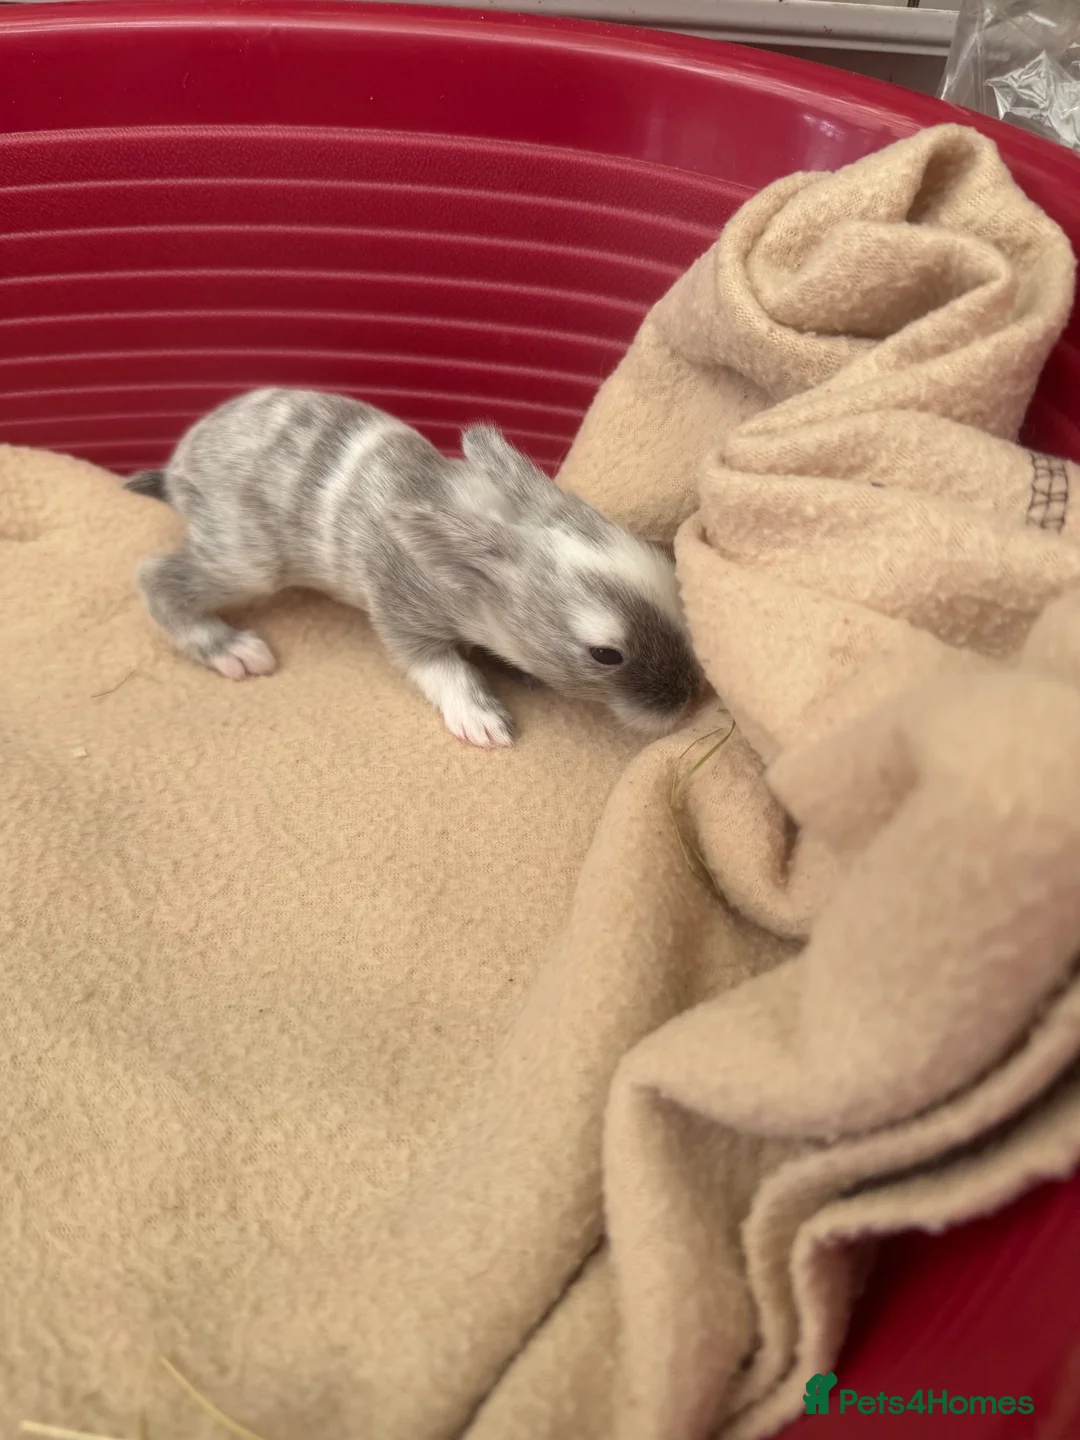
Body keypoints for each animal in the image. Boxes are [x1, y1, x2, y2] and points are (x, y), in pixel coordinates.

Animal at [124, 387, 702, 748]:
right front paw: (483, 722)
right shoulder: (401, 614)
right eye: (606, 654)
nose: (689, 701)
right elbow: (439, 667)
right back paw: (233, 649)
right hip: (245, 560)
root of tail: (176, 467)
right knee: (155, 577)